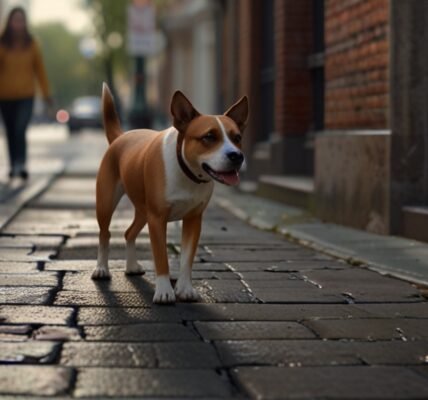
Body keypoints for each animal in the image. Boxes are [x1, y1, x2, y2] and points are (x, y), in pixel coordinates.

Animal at [92, 84, 249, 304]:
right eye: (209, 137)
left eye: (237, 138)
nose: (236, 156)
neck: (185, 170)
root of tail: (120, 136)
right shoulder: (157, 219)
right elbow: (161, 258)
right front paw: (165, 291)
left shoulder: (193, 219)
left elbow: (186, 259)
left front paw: (184, 289)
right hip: (106, 203)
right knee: (104, 234)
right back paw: (101, 268)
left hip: (143, 211)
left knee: (129, 232)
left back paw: (131, 266)